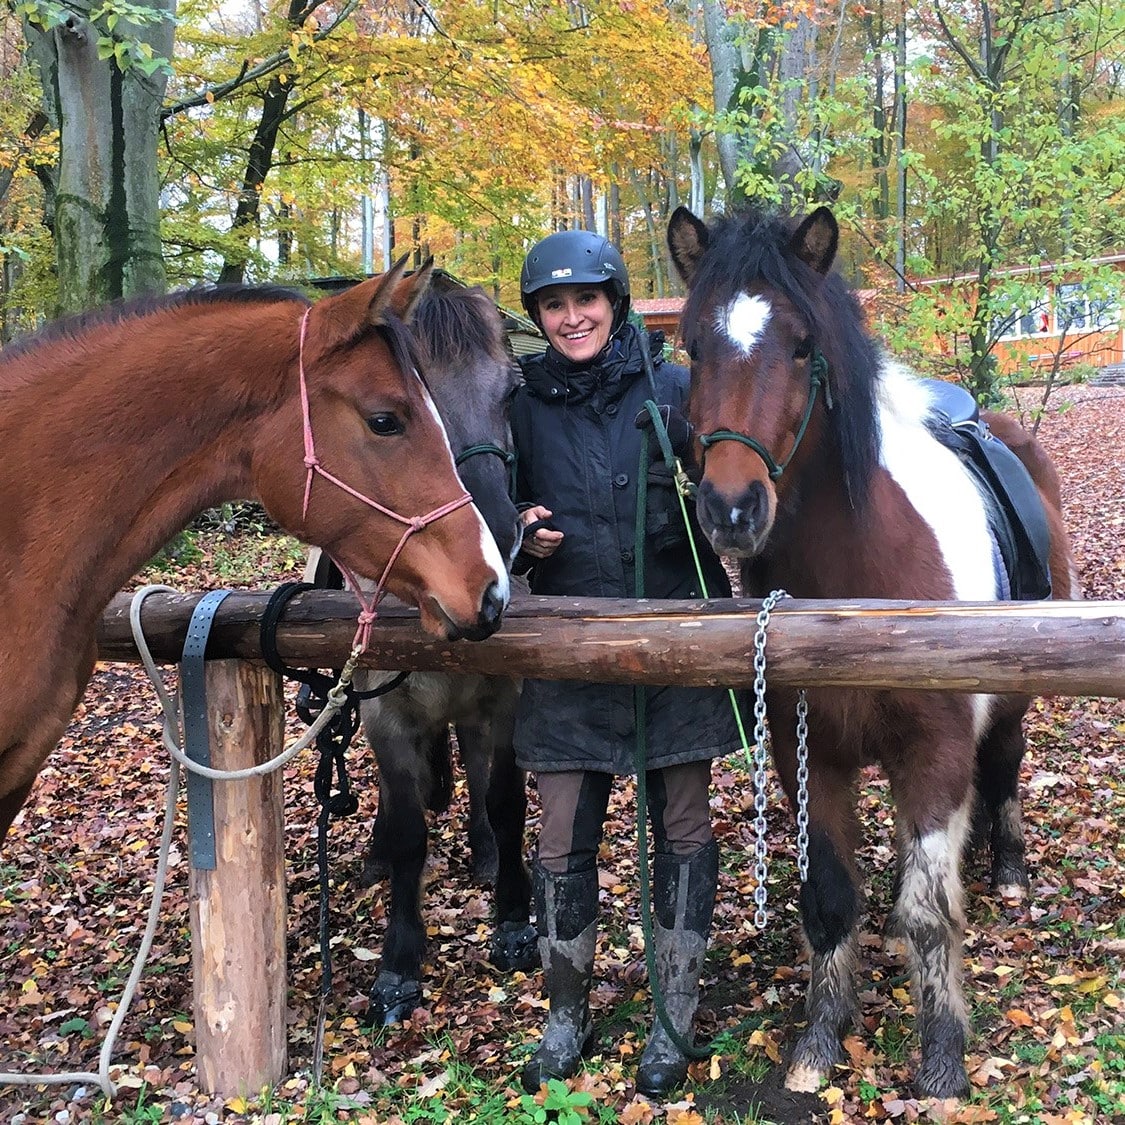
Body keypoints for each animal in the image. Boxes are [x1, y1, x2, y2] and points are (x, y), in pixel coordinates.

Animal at [303, 283, 535, 1030]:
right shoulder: (387, 717)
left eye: (512, 390)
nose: (500, 538)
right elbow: (407, 829)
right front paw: (399, 962)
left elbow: (504, 799)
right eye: (400, 409)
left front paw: (512, 917)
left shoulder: (506, 697)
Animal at [666, 204, 1080, 1098]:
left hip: (1012, 699)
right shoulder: (808, 757)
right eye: (691, 346)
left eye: (800, 346)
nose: (731, 507)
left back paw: (1007, 867)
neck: (854, 595)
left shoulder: (935, 749)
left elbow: (930, 912)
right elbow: (828, 897)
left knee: (1002, 765)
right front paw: (819, 1039)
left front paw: (942, 1055)